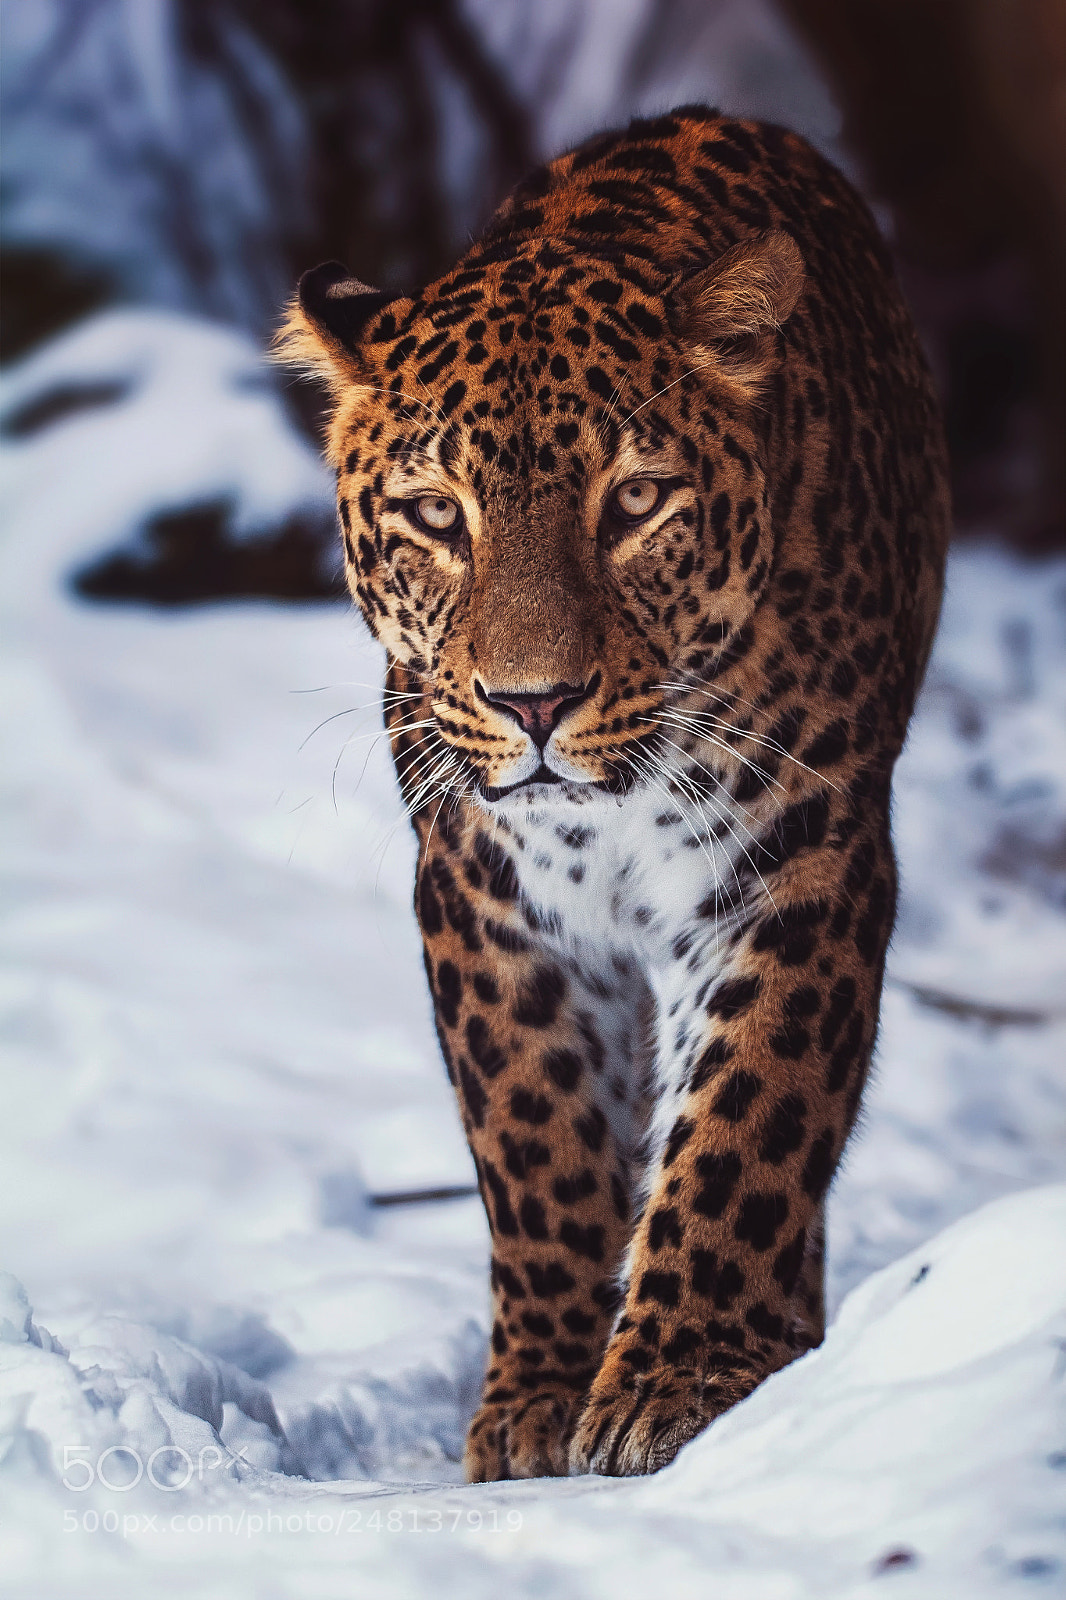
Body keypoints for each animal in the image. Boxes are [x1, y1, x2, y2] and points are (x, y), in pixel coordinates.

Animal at [277, 106, 950, 1481]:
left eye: (635, 501)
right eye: (437, 515)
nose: (534, 703)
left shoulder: (794, 859)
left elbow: (749, 1112)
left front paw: (682, 1376)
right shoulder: (484, 886)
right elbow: (537, 1139)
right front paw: (538, 1397)